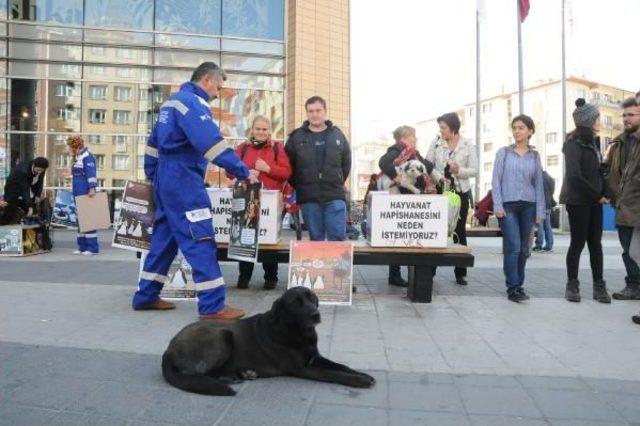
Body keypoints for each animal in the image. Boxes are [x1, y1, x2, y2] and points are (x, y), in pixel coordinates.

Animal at [162, 286, 378, 396]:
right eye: (295, 303)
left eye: (312, 298)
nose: (316, 315)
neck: (300, 333)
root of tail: (168, 349)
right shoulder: (303, 368)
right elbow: (333, 374)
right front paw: (358, 380)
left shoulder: (314, 357)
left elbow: (341, 366)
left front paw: (363, 374)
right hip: (222, 335)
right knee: (197, 374)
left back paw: (242, 374)